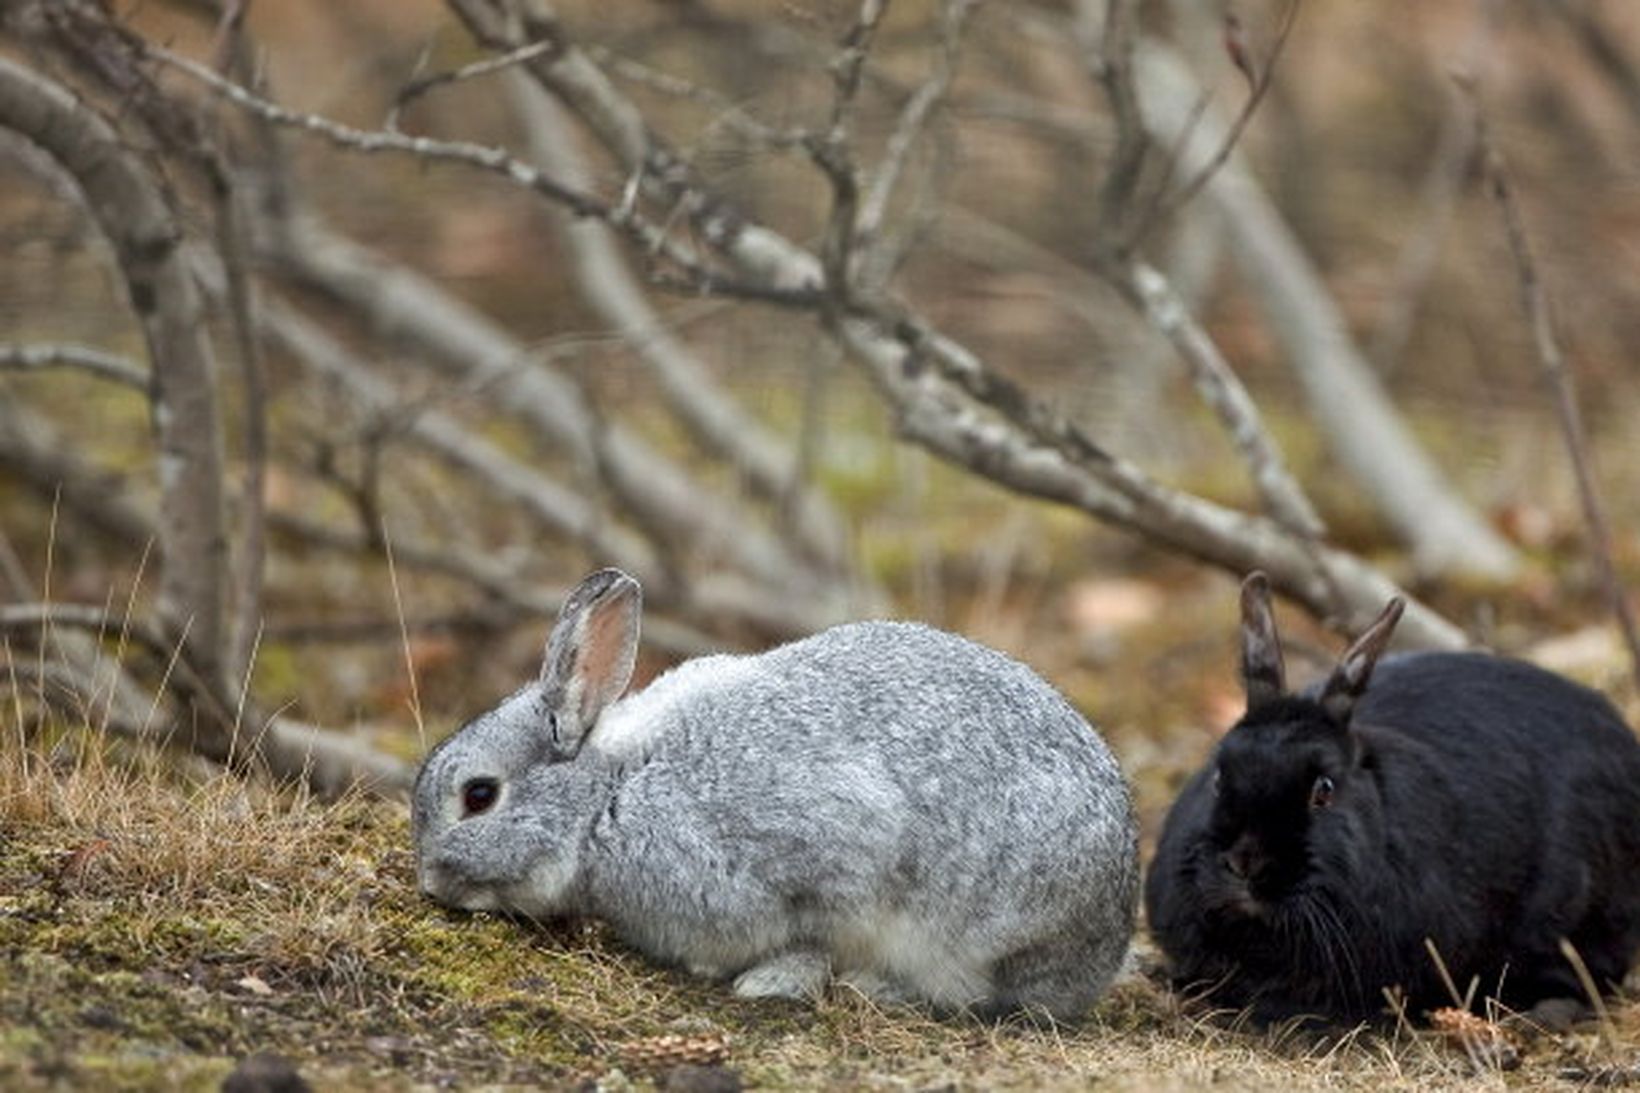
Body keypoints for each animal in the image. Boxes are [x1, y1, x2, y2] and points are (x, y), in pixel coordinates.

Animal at [410, 564, 1134, 1017]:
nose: (430, 883)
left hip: (990, 931)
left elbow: (812, 932)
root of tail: (1109, 937)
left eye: (479, 795)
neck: (609, 794)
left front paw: (768, 980)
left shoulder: (832, 851)